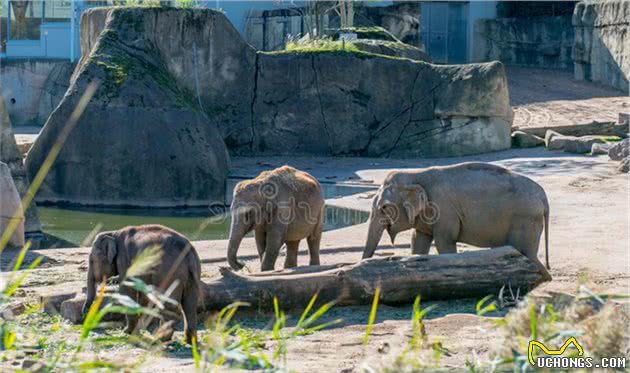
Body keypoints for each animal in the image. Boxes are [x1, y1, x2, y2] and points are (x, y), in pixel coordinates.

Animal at [366, 161, 552, 280]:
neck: (415, 174)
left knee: (526, 253)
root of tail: (543, 196)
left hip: (525, 219)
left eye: (384, 207)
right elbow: (418, 241)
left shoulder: (445, 211)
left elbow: (444, 242)